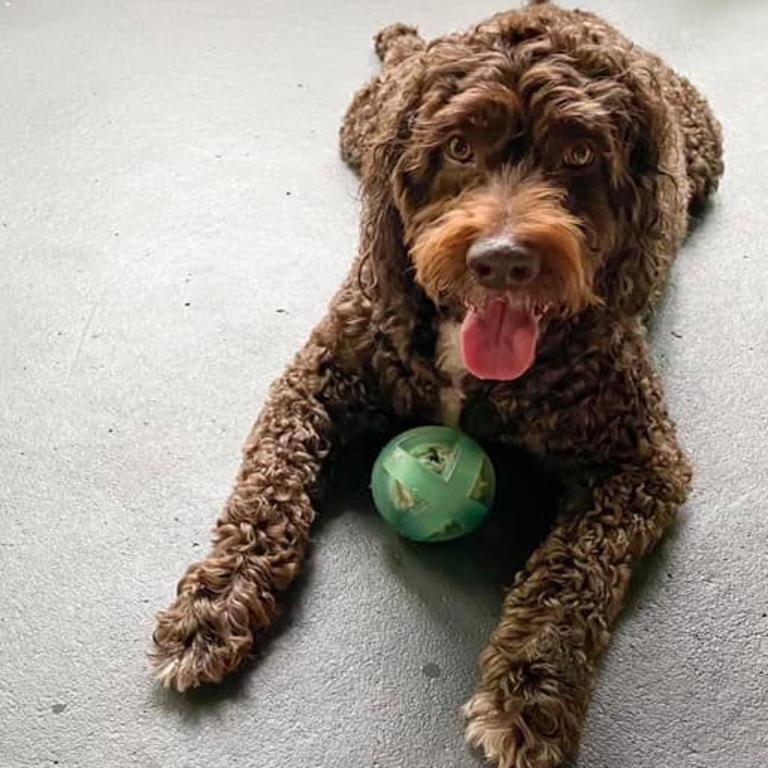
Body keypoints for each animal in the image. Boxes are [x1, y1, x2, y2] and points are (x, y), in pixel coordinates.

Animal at [148, 3, 720, 764]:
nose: (502, 260)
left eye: (579, 156)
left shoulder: (642, 461)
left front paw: (531, 689)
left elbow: (575, 571)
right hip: (363, 124)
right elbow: (266, 490)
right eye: (457, 148)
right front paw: (216, 603)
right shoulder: (318, 376)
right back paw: (398, 41)